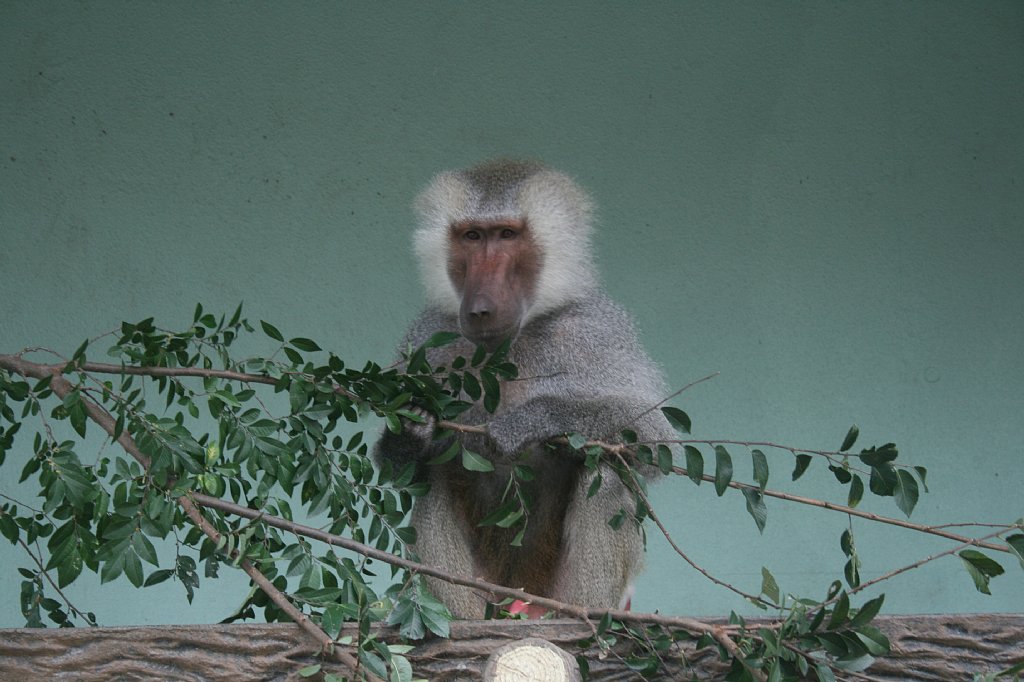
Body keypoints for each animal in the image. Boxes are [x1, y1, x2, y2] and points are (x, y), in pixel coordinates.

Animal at [374, 160, 677, 619]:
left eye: (507, 235)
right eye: (472, 236)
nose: (480, 309)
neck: (510, 344)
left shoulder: (598, 331)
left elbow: (657, 442)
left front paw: (528, 420)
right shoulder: (425, 339)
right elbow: (402, 468)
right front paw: (411, 432)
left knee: (607, 470)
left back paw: (582, 617)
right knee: (434, 475)